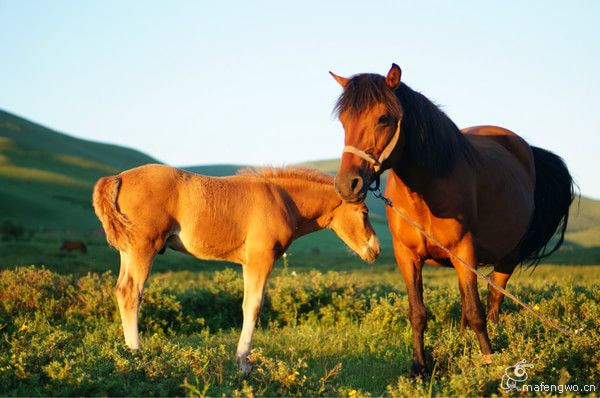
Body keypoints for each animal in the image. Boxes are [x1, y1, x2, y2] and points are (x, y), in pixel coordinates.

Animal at [91, 163, 378, 374]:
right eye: (364, 212)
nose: (375, 249)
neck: (283, 199)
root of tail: (117, 178)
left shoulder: (248, 263)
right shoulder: (260, 259)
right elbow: (253, 306)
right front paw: (243, 363)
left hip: (128, 250)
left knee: (121, 290)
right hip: (143, 248)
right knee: (131, 293)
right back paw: (137, 355)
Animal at [330, 64, 576, 376]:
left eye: (383, 118)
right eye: (343, 121)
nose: (346, 185)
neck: (424, 193)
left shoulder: (464, 250)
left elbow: (476, 312)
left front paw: (488, 361)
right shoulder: (407, 256)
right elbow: (418, 313)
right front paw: (418, 368)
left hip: (506, 258)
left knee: (493, 302)